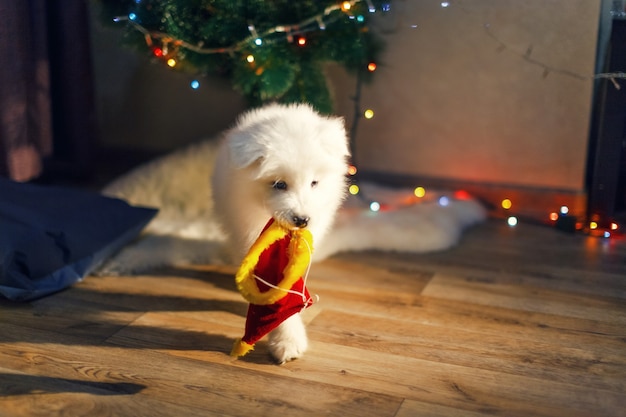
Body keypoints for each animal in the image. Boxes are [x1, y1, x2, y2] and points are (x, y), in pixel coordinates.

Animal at [212, 102, 348, 362]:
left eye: (314, 183)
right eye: (279, 184)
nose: (302, 220)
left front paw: (287, 339)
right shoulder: (249, 228)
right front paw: (287, 339)